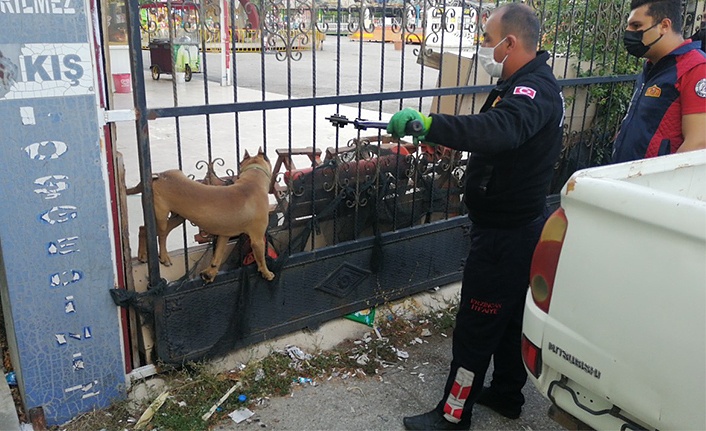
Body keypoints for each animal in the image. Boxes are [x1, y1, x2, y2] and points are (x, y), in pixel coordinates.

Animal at [128, 149, 274, 284]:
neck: (253, 178)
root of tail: (158, 175)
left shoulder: (224, 235)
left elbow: (217, 255)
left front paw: (210, 273)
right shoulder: (257, 239)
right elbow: (261, 259)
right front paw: (267, 273)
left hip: (177, 217)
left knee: (143, 228)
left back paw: (142, 255)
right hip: (161, 216)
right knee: (162, 237)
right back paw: (164, 258)